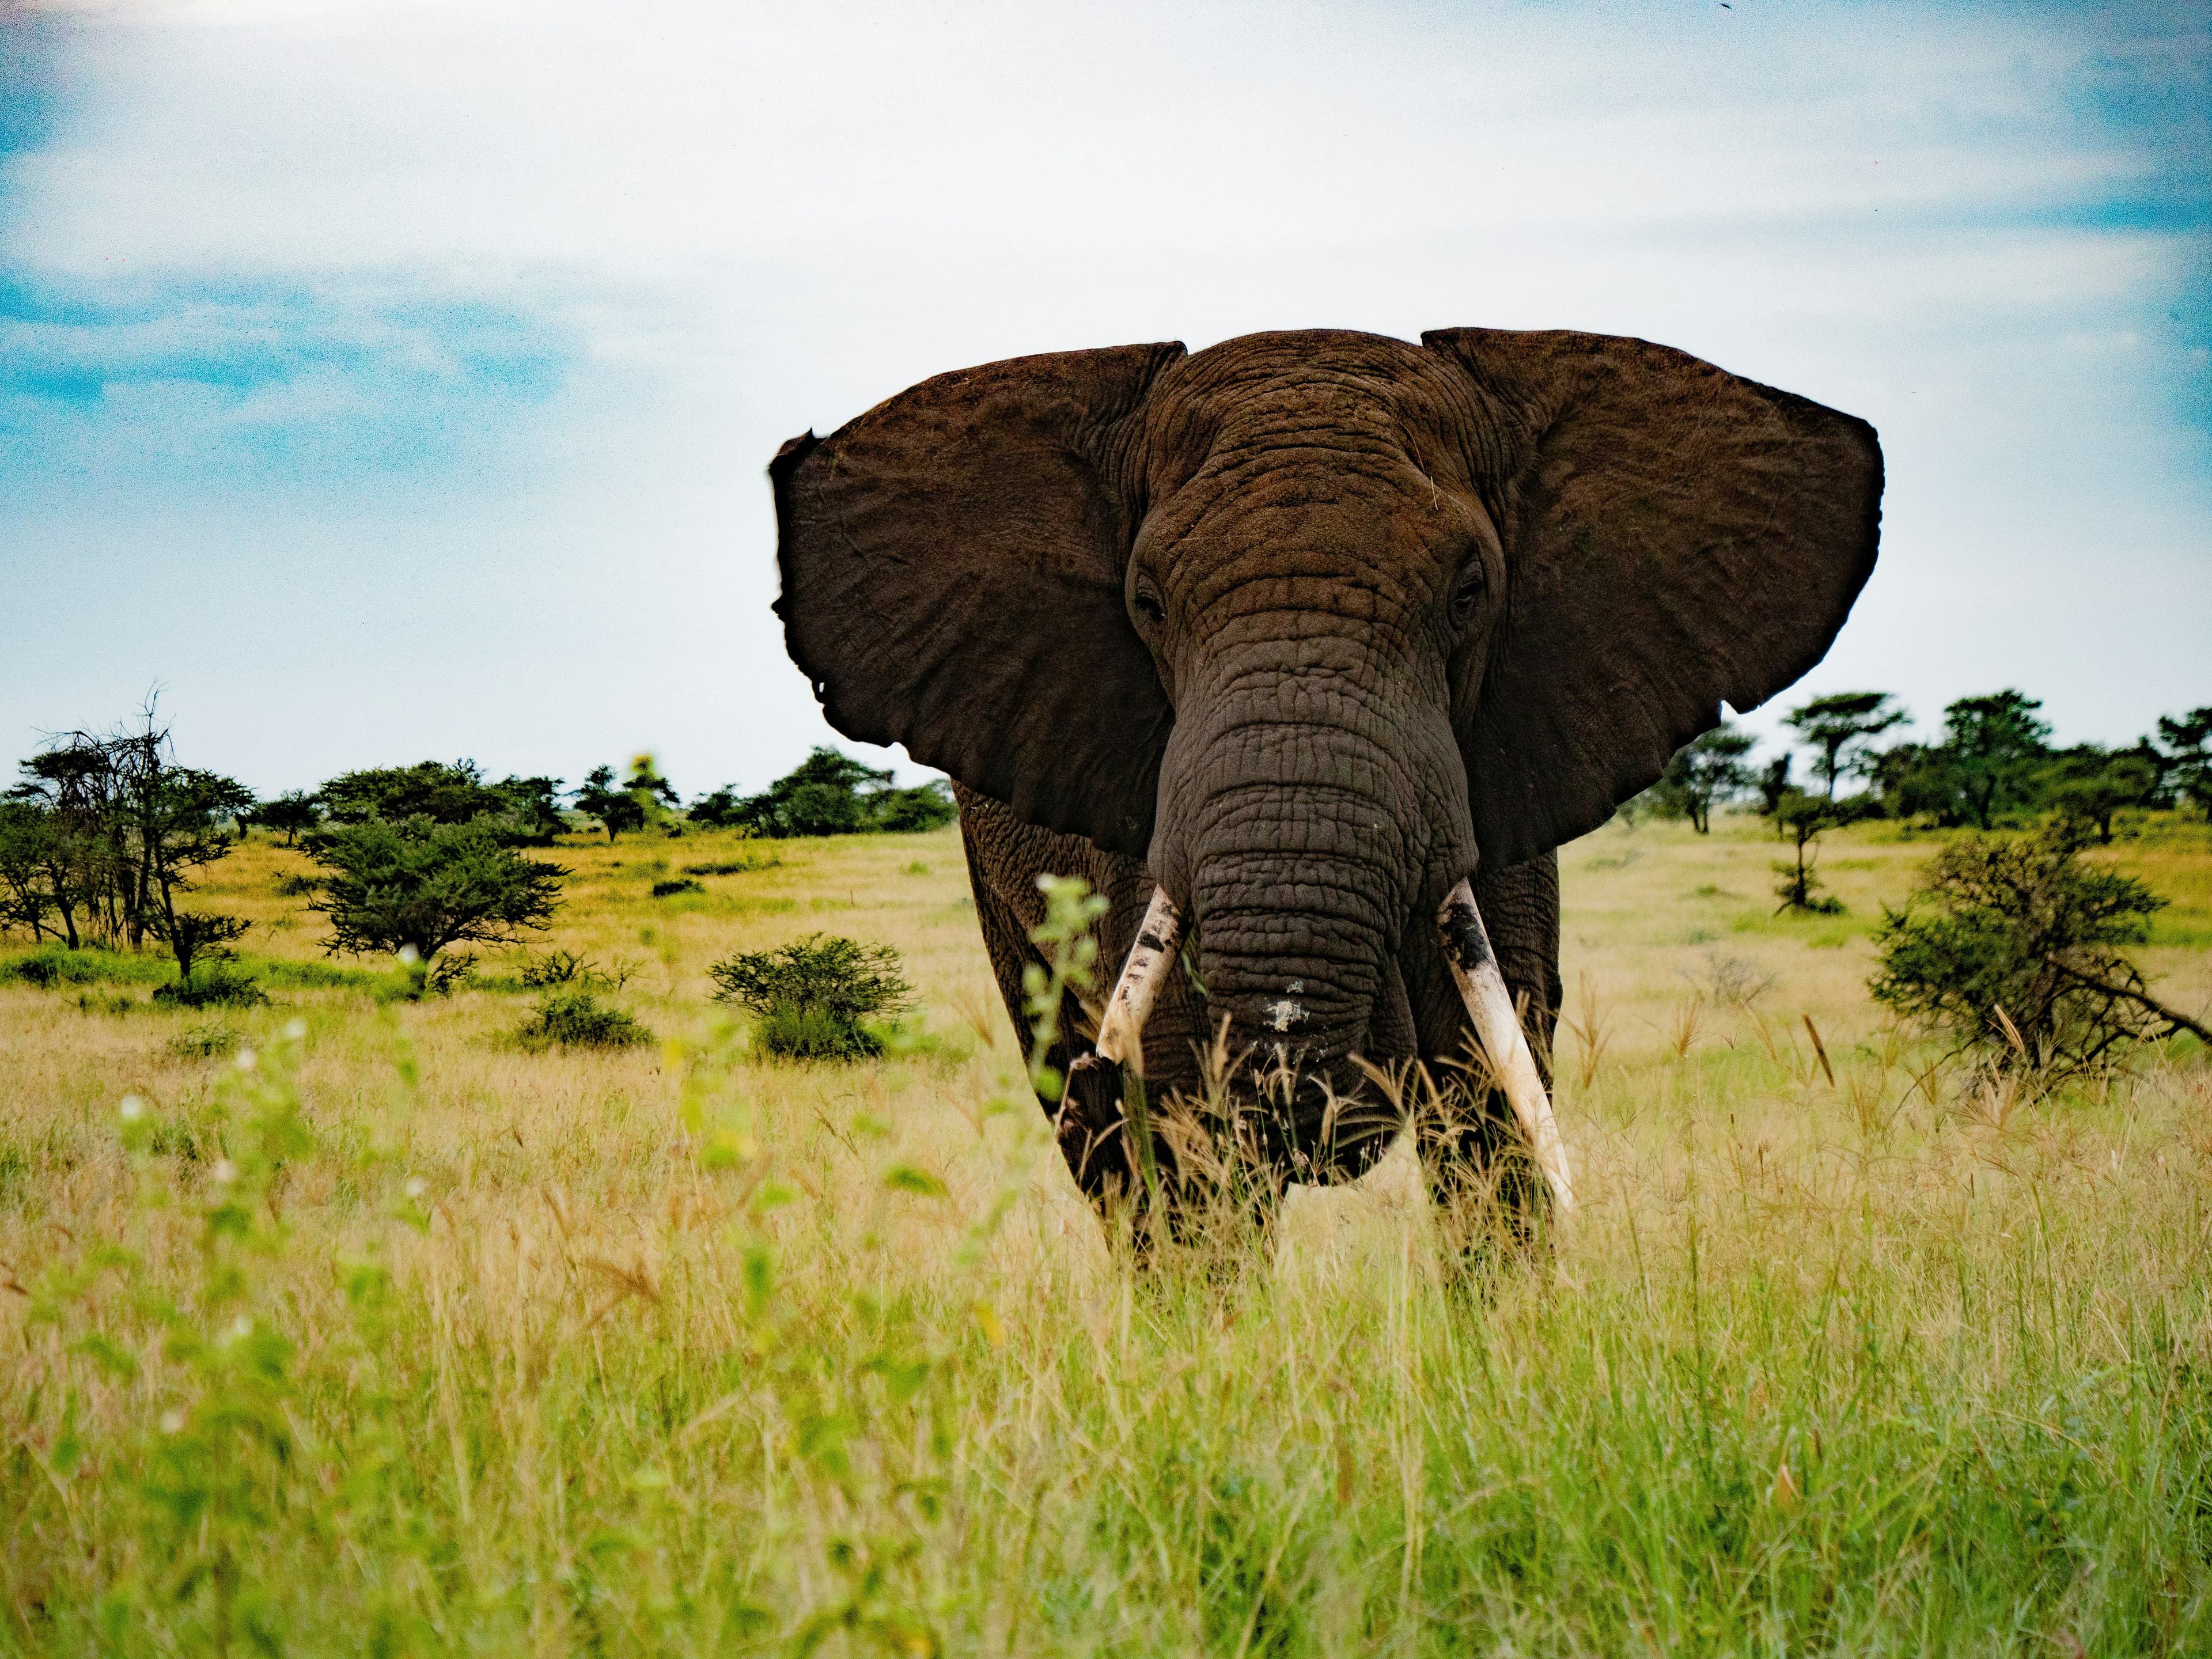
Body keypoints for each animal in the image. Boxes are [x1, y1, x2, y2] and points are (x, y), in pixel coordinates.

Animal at [769, 327, 1880, 1244]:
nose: (1319, 1119)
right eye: (1147, 603)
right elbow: (1187, 1133)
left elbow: (1494, 1111)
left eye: (1469, 595)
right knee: (1102, 1159)